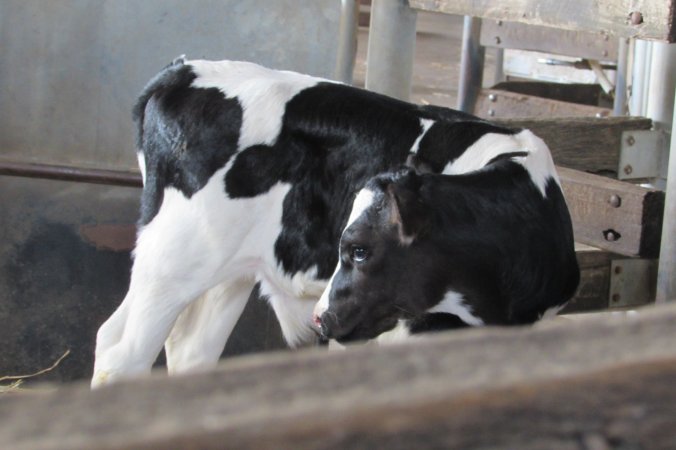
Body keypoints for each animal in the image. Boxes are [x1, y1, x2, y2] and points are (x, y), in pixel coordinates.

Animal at [91, 57, 580, 386]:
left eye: (360, 249)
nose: (321, 320)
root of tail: (183, 69)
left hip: (226, 269)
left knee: (192, 348)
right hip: (171, 258)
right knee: (121, 351)